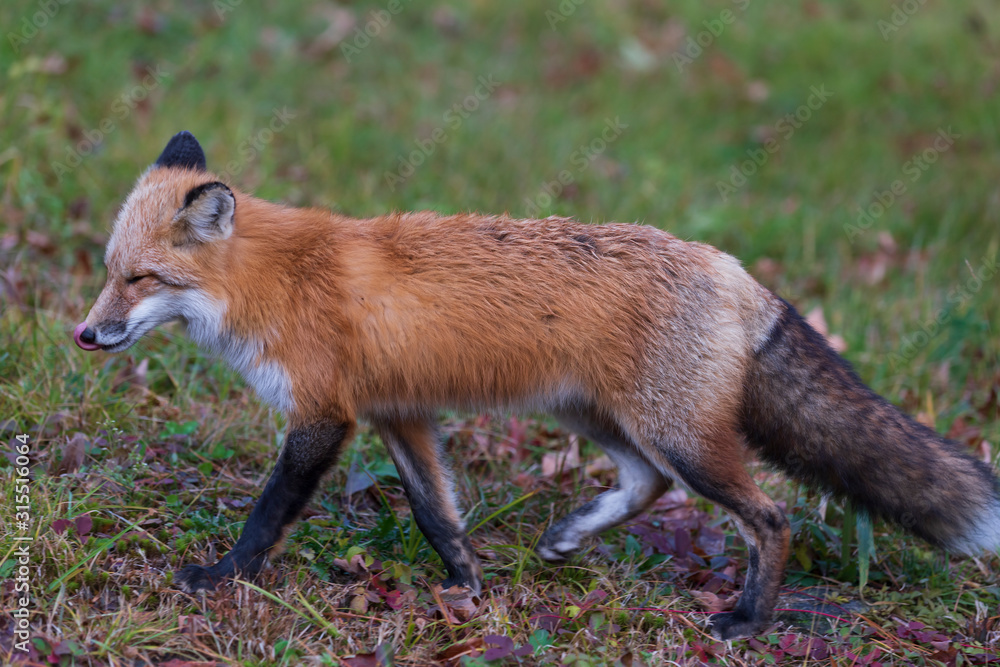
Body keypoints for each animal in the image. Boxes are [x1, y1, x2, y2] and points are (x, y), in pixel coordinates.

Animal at [74, 131, 1000, 640]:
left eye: (141, 279)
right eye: (108, 272)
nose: (84, 335)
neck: (274, 279)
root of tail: (735, 269)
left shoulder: (324, 415)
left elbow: (268, 513)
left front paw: (220, 577)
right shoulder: (398, 413)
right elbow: (435, 511)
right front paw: (468, 589)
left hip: (679, 437)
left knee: (770, 517)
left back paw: (749, 618)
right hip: (601, 418)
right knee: (646, 484)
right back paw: (569, 537)